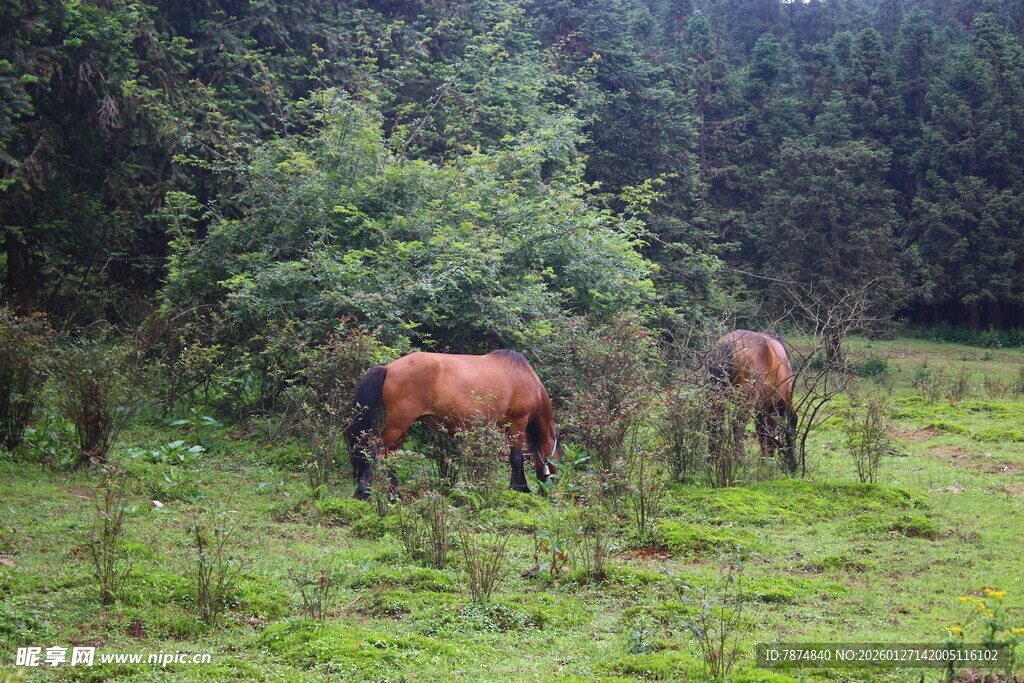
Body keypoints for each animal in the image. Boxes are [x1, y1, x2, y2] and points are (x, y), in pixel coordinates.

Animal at [344, 349, 563, 500]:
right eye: (559, 458)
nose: (553, 489)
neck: (528, 380)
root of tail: (388, 368)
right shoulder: (518, 423)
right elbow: (516, 459)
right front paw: (520, 488)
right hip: (399, 422)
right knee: (374, 449)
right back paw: (363, 492)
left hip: (402, 426)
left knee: (390, 454)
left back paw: (394, 494)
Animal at [708, 329, 798, 472]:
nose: (793, 464)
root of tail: (729, 343)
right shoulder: (780, 401)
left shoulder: (763, 408)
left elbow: (762, 432)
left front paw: (764, 460)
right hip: (748, 400)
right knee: (738, 426)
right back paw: (742, 463)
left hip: (717, 397)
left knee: (714, 424)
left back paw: (711, 462)